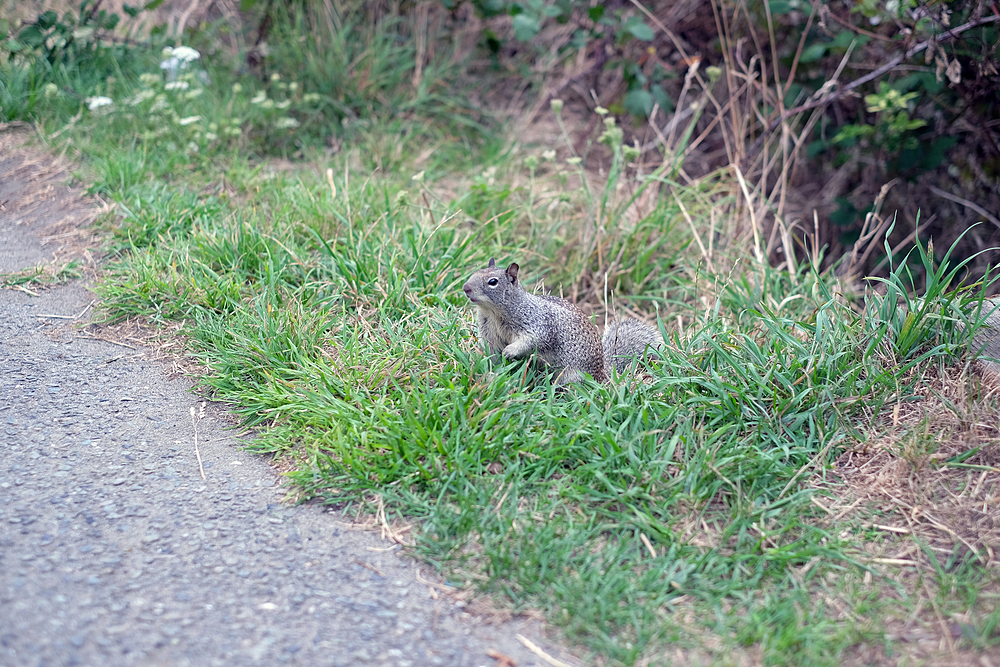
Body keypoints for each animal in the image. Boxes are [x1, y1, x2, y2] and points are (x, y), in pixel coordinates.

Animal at [460, 260, 664, 386]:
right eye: (474, 273)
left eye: (492, 282)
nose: (465, 288)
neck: (494, 312)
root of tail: (602, 372)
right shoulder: (489, 332)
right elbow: (491, 349)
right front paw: (490, 366)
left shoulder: (538, 324)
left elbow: (532, 340)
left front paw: (510, 351)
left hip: (573, 375)